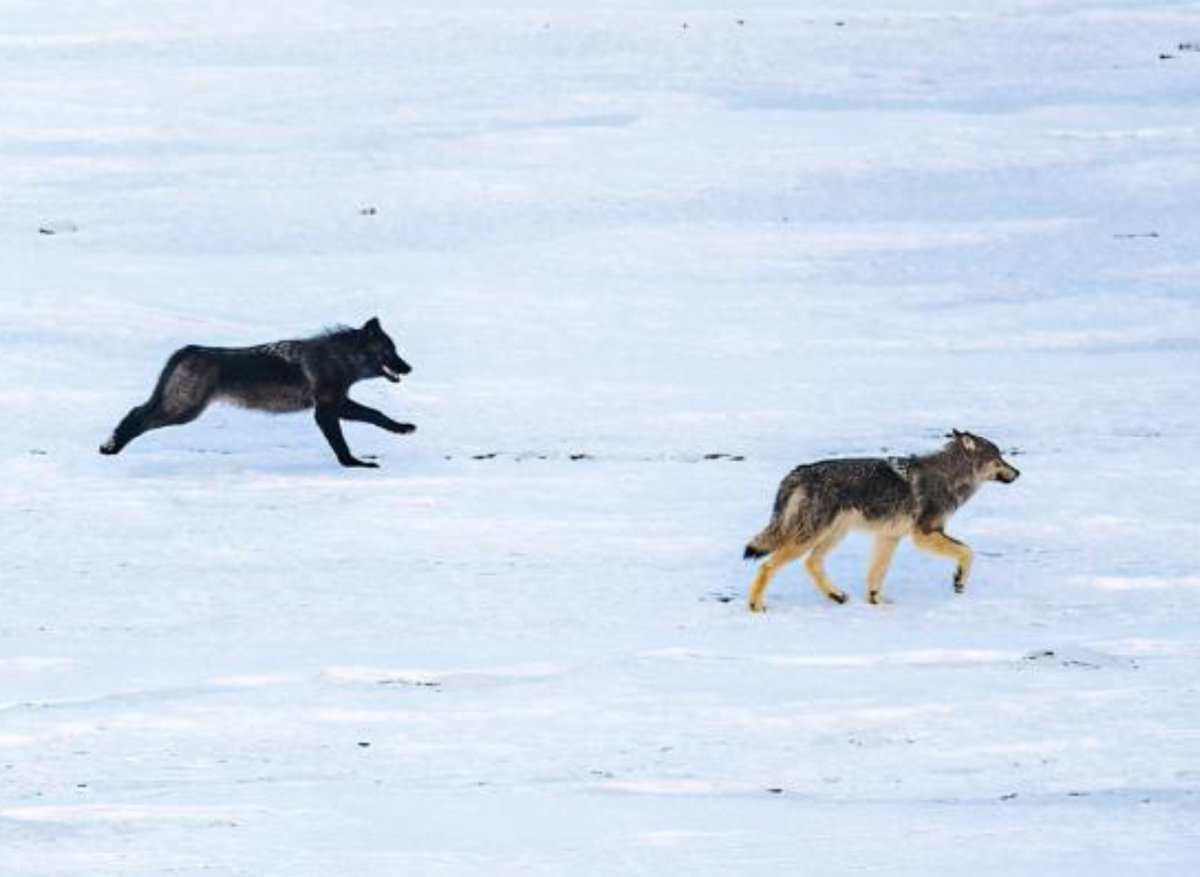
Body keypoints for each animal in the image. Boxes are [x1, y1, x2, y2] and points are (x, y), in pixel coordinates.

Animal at [100, 318, 414, 468]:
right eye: (390, 351)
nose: (409, 367)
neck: (339, 359)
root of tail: (187, 350)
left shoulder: (335, 405)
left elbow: (373, 416)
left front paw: (400, 429)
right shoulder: (326, 409)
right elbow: (365, 422)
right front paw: (354, 464)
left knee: (136, 411)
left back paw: (110, 445)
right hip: (183, 410)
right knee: (138, 415)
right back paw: (111, 447)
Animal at [744, 430, 1019, 611]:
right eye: (999, 458)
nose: (1018, 473)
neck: (950, 476)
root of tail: (797, 472)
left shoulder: (890, 537)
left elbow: (877, 574)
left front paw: (876, 601)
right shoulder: (924, 533)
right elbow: (967, 551)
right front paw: (959, 580)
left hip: (833, 535)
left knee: (812, 563)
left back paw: (836, 596)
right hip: (811, 537)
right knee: (767, 566)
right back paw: (756, 606)